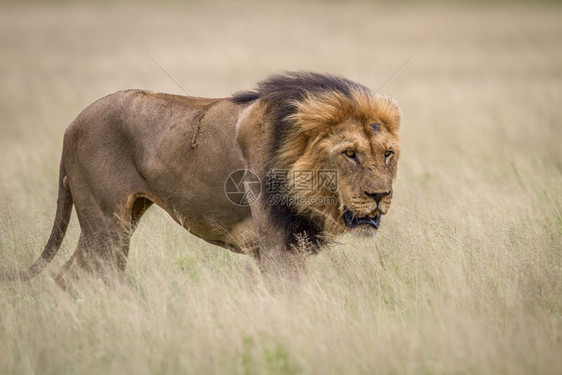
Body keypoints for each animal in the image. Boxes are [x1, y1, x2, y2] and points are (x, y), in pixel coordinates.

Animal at [13, 70, 398, 284]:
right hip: (107, 225)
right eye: (350, 154)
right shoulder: (276, 244)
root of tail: (72, 125)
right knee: (92, 275)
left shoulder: (280, 246)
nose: (380, 195)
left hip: (118, 220)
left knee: (72, 275)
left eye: (387, 153)